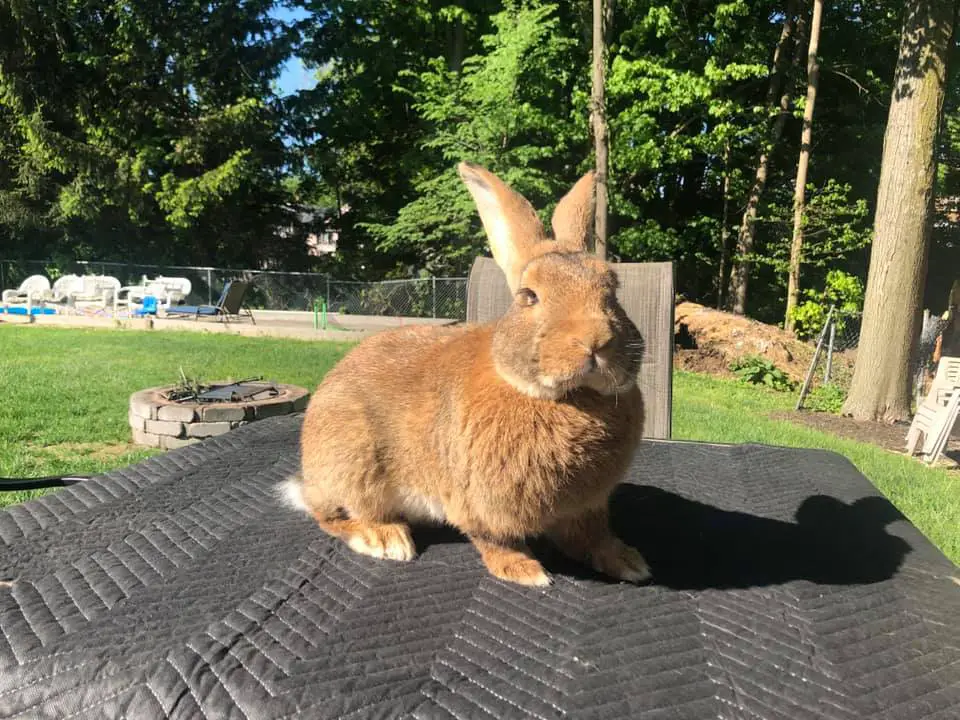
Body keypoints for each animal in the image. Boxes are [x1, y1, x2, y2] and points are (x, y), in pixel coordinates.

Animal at [282, 163, 648, 584]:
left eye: (613, 291)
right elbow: (494, 539)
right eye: (529, 296)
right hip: (352, 464)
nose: (595, 341)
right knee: (333, 515)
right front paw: (524, 571)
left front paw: (628, 562)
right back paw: (385, 539)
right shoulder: (478, 503)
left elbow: (592, 537)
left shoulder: (586, 507)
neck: (568, 398)